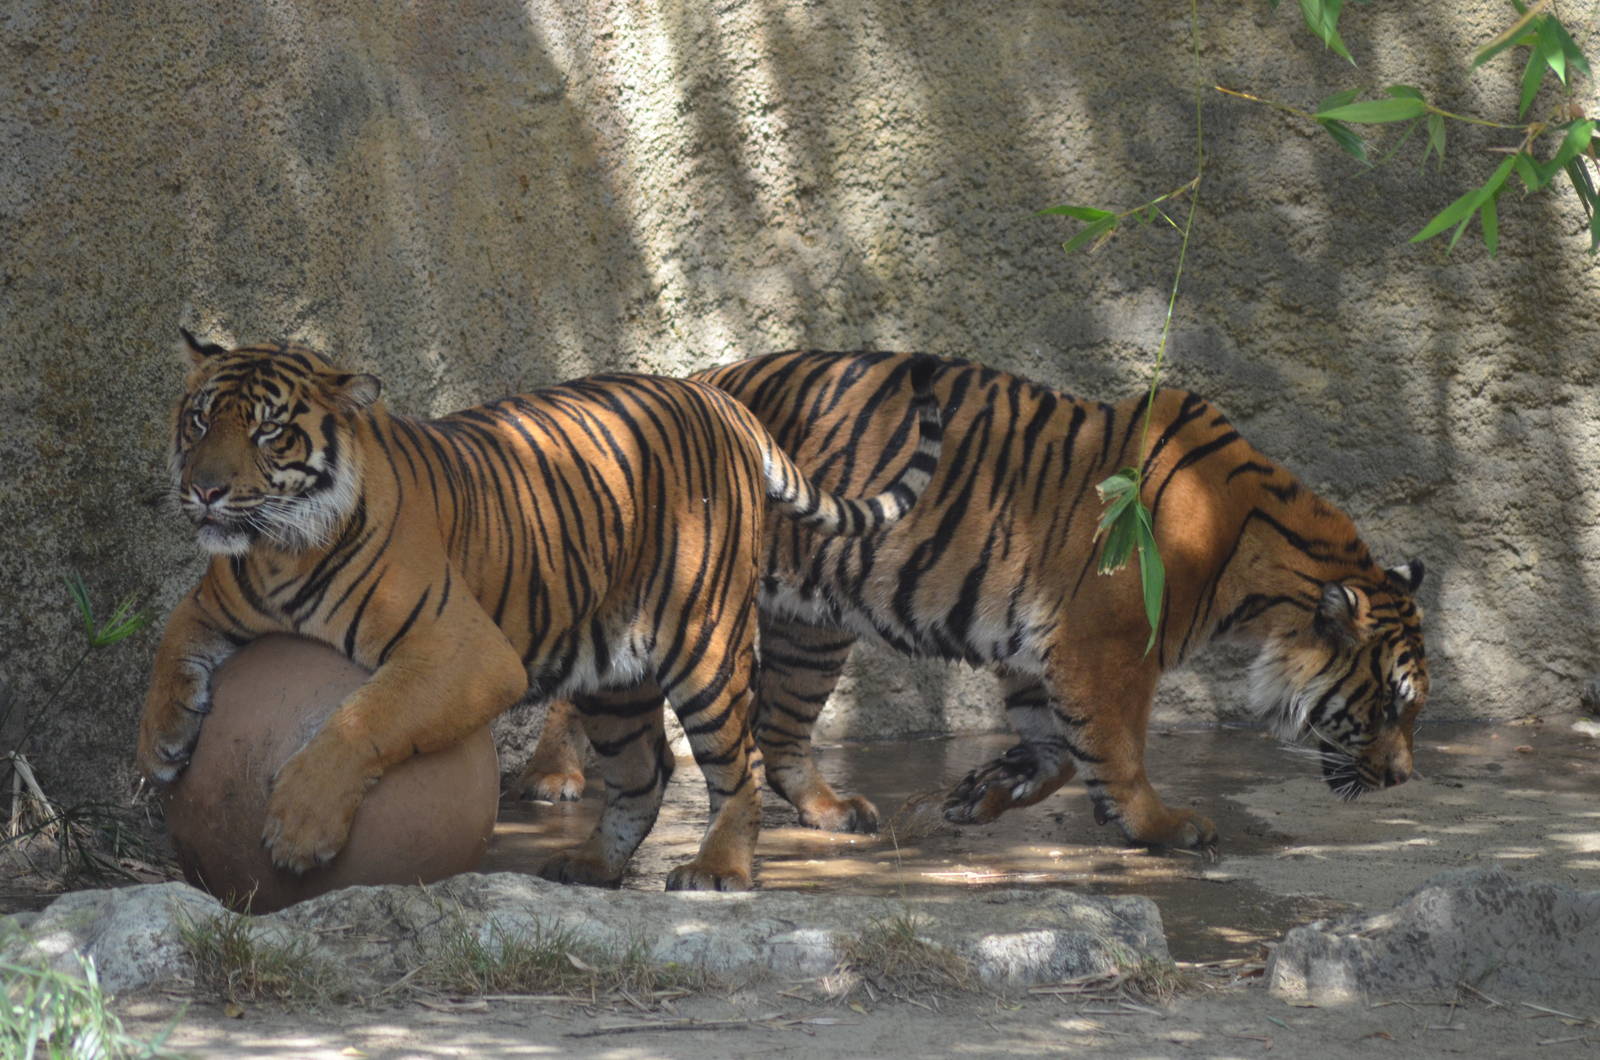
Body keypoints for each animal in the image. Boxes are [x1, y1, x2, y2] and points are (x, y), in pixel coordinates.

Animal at [135, 332, 942, 891]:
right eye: (199, 420)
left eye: (269, 431)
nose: (204, 490)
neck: (279, 552)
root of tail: (721, 400)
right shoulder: (212, 605)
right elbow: (169, 648)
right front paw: (164, 743)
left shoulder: (462, 650)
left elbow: (362, 718)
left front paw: (299, 829)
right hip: (615, 675)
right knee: (644, 775)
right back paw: (590, 865)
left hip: (706, 643)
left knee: (734, 763)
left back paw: (718, 871)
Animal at [523, 350, 1428, 854]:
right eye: (1388, 704)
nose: (1402, 780)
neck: (1263, 568)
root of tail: (698, 381)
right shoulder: (1103, 647)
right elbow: (1118, 749)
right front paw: (1160, 826)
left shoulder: (1045, 650)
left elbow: (1058, 750)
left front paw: (985, 792)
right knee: (591, 683)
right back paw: (551, 776)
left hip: (812, 625)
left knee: (779, 734)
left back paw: (832, 811)